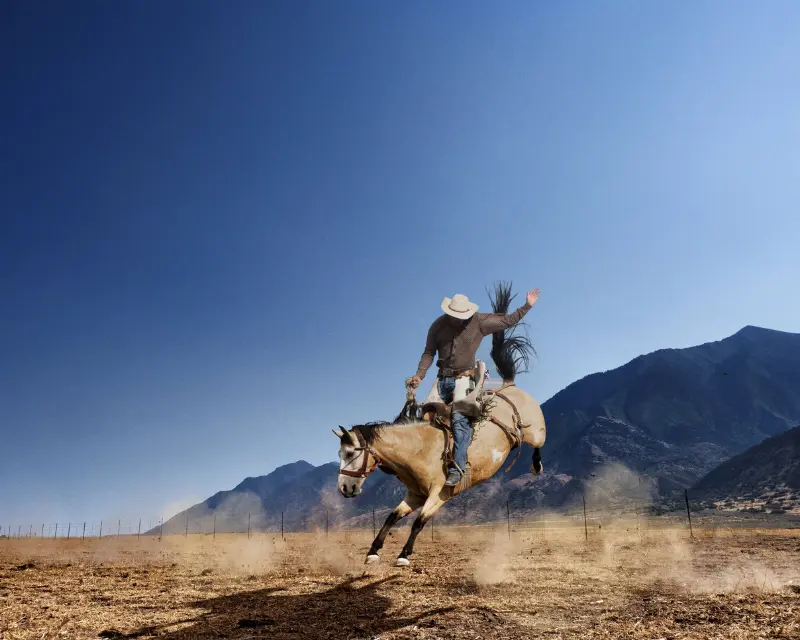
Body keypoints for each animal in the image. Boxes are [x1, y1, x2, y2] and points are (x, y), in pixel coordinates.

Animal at [333, 282, 547, 567]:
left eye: (349, 453)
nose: (344, 488)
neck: (418, 450)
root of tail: (509, 386)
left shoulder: (439, 494)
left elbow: (420, 522)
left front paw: (403, 555)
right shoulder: (415, 495)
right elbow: (392, 516)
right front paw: (373, 551)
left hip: (535, 433)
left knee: (539, 445)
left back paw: (536, 466)